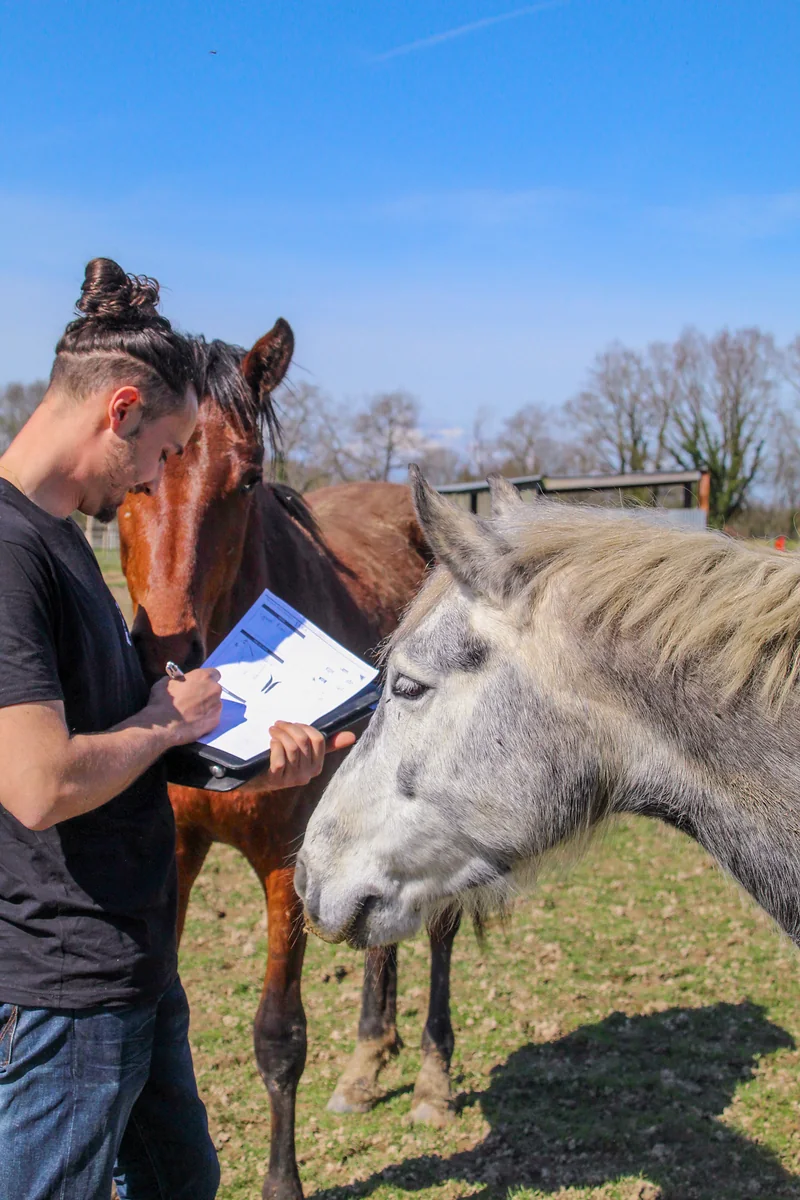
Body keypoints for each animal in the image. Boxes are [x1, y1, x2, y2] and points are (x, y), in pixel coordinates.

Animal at [118, 326, 460, 1200]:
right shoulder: (176, 850)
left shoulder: (285, 863)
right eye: (130, 474)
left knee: (438, 930)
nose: (166, 649)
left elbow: (279, 1035)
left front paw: (282, 1182)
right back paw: (369, 1061)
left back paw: (433, 1080)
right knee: (383, 935)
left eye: (248, 478)